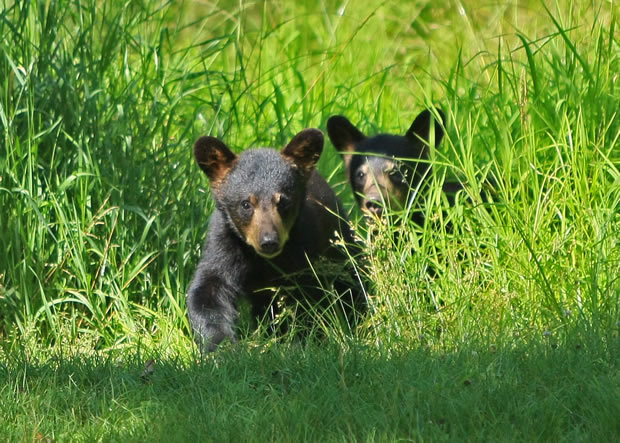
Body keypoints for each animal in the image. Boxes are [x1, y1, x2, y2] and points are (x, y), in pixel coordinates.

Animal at [188, 126, 364, 352]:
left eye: (283, 201)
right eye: (246, 203)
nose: (269, 241)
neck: (264, 262)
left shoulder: (306, 251)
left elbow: (307, 299)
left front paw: (300, 342)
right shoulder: (224, 244)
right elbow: (208, 291)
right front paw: (221, 345)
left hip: (340, 241)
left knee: (352, 280)